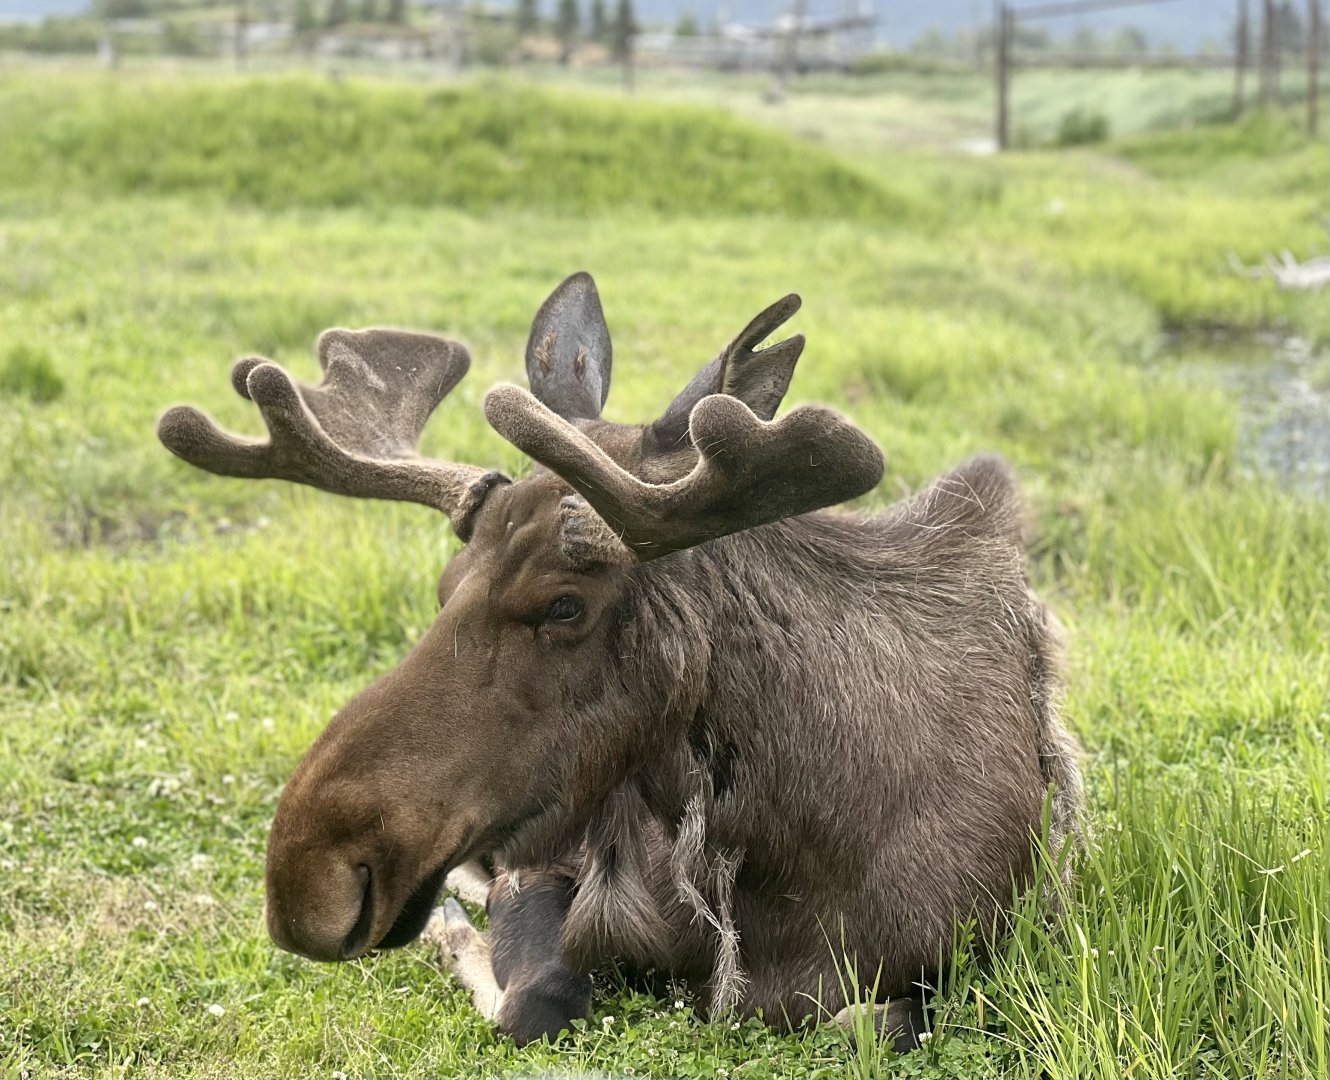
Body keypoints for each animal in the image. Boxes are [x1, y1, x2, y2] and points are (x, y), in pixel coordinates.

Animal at [157, 273, 1082, 1051]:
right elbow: (531, 999)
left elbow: (870, 1022)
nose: (306, 876)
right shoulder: (544, 860)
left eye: (565, 604)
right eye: (444, 586)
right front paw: (459, 938)